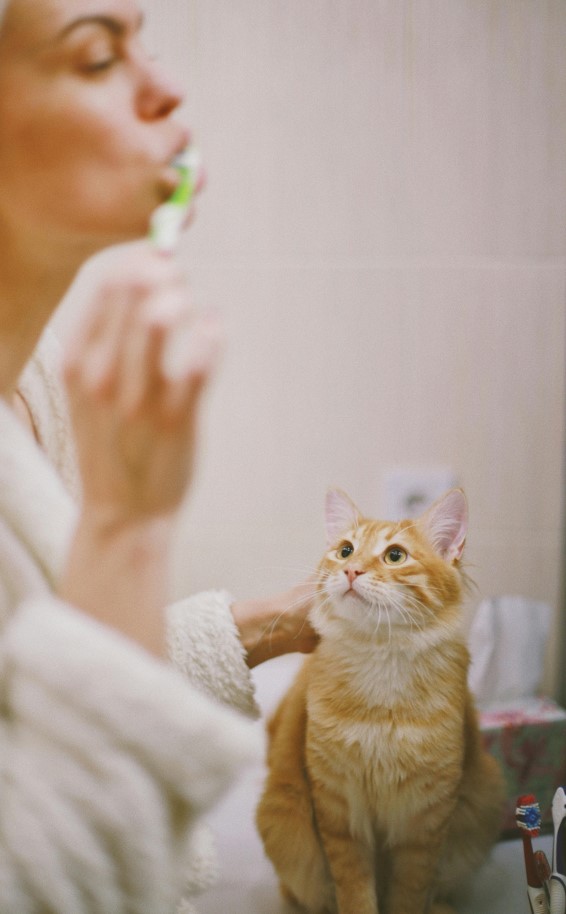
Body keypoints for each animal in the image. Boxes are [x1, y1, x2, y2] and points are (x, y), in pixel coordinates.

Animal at [258, 488, 506, 912]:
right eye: (345, 551)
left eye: (395, 555)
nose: (351, 571)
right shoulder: (339, 808)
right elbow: (355, 891)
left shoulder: (425, 818)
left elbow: (410, 892)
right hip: (282, 821)